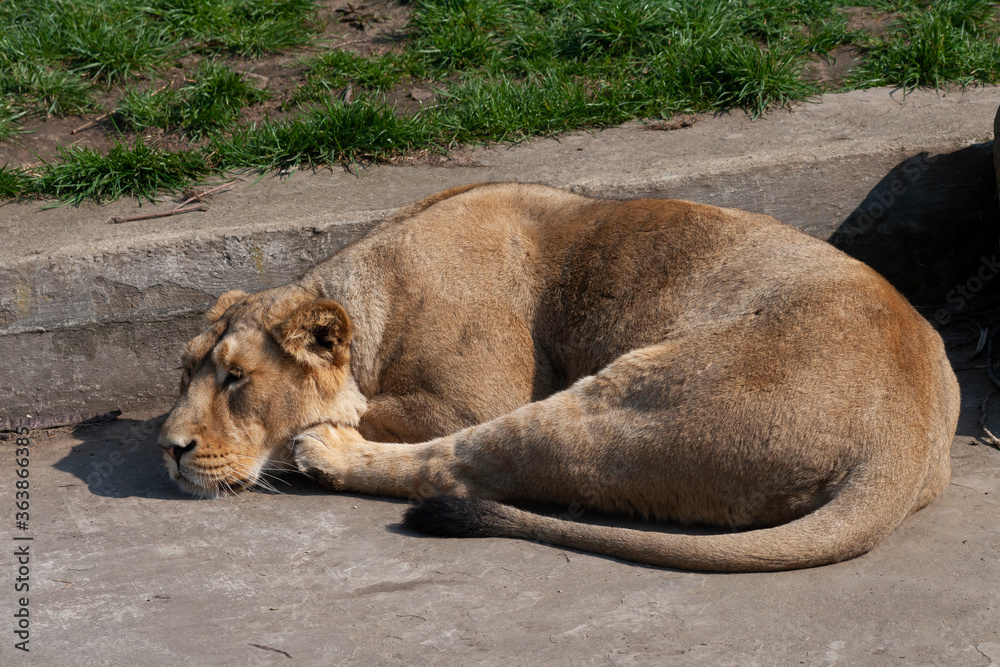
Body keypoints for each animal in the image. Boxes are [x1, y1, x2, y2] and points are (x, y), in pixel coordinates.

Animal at [158, 182, 959, 572]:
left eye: (236, 378)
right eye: (184, 372)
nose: (167, 448)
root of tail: (899, 436)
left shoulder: (471, 397)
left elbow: (390, 419)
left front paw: (319, 431)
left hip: (624, 404)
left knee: (459, 465)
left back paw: (325, 452)